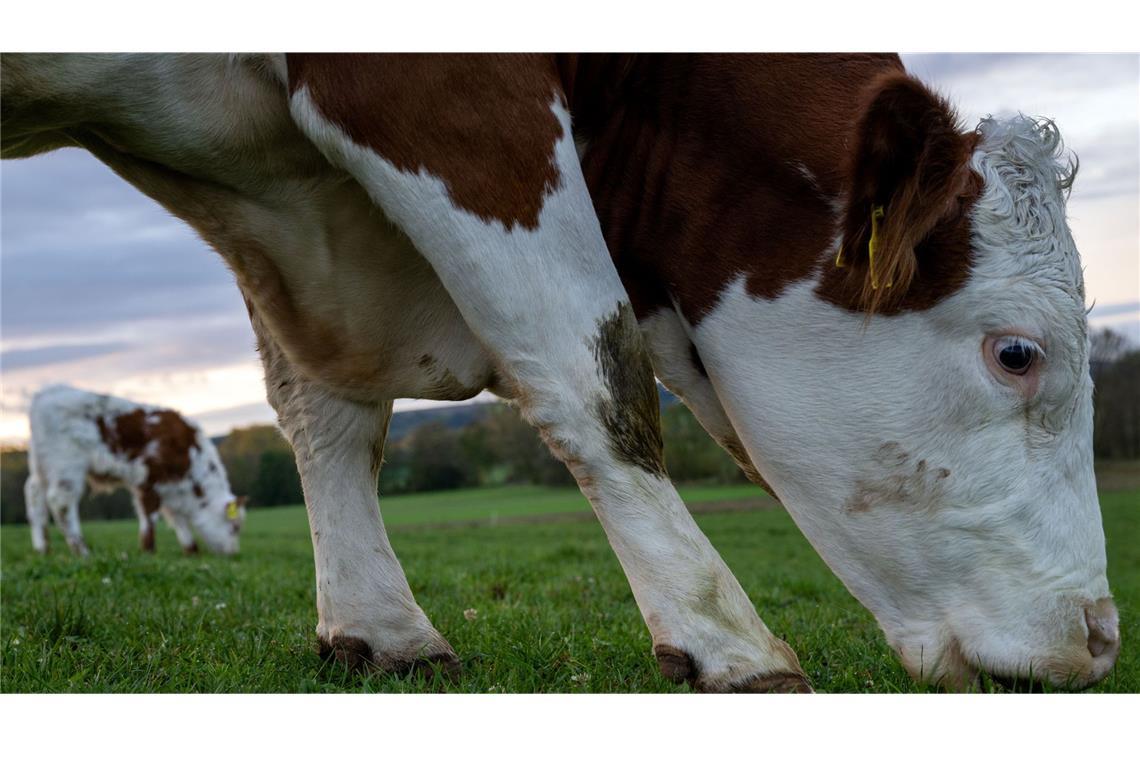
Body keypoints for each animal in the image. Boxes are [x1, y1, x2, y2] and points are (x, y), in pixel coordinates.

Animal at [23, 385, 246, 556]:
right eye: (235, 527)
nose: (233, 553)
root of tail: (45, 393)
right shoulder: (149, 478)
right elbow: (150, 516)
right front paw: (148, 550)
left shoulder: (171, 488)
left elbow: (177, 518)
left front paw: (191, 549)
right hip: (66, 465)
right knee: (61, 502)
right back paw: (82, 551)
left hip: (40, 466)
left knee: (35, 497)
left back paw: (43, 549)